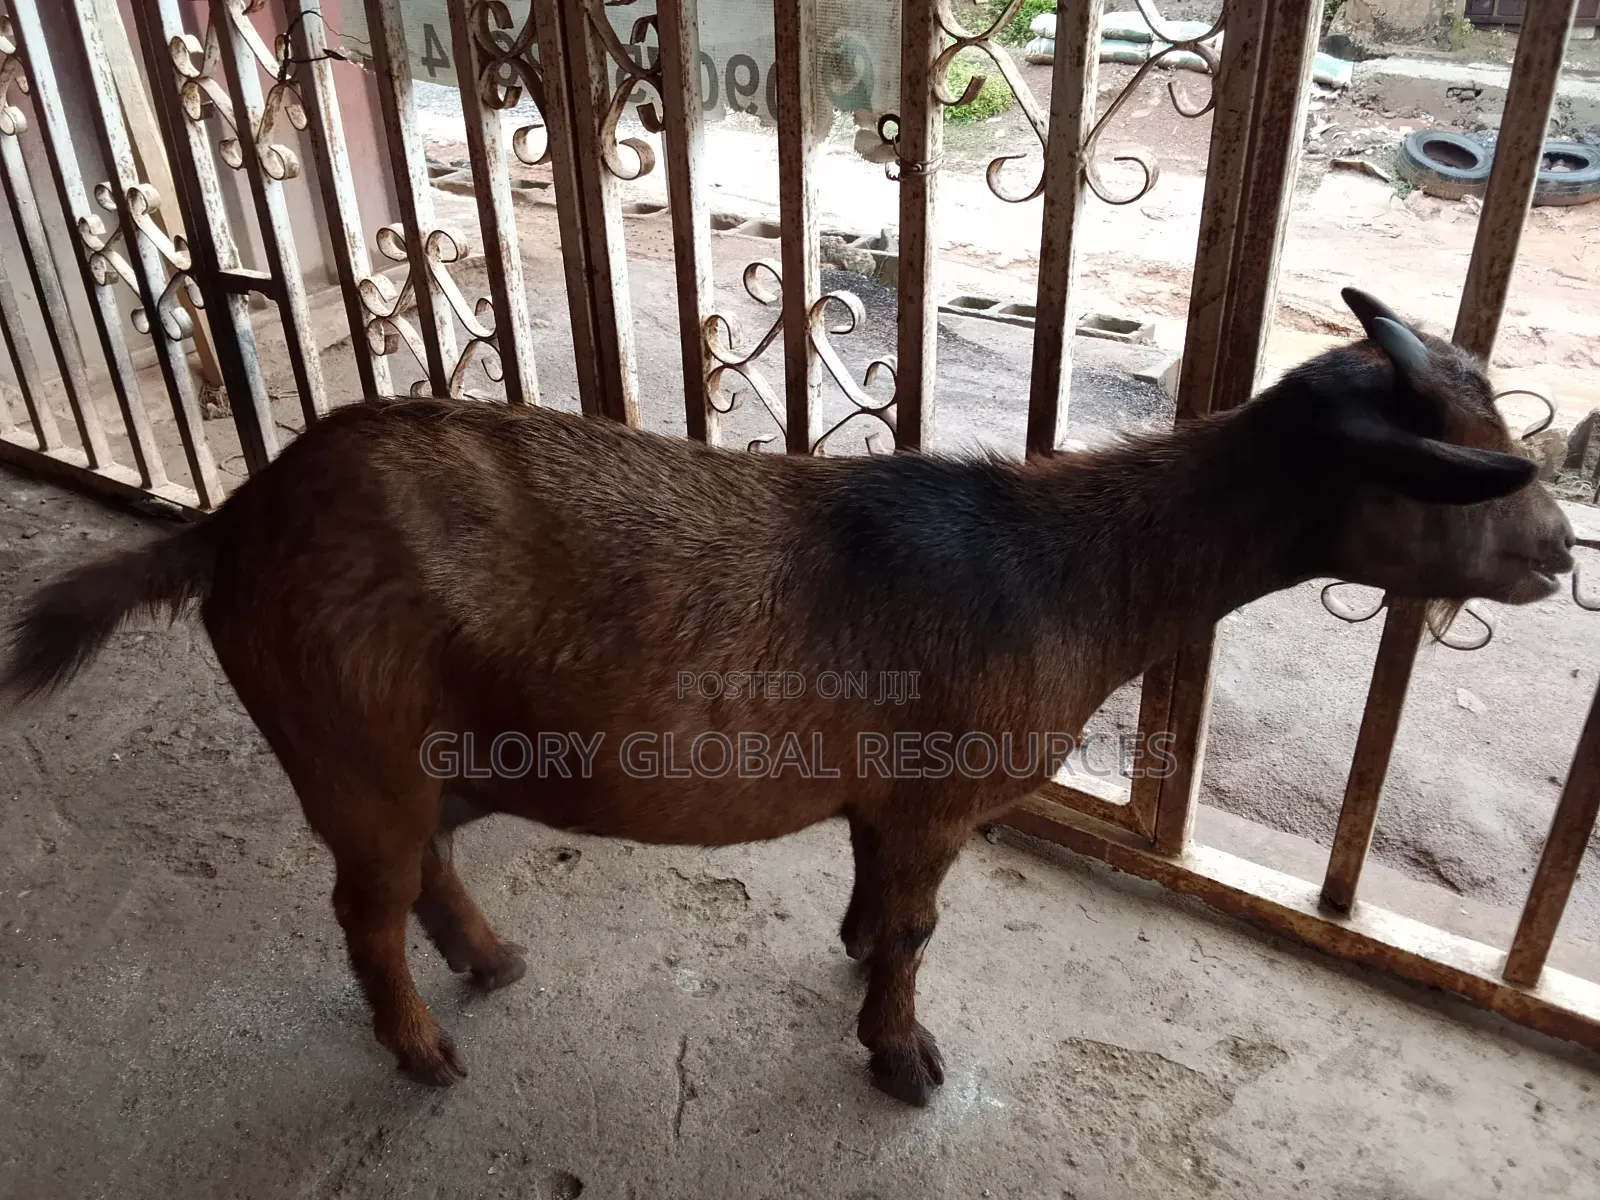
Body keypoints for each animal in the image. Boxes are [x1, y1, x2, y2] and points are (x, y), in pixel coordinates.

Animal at [1, 289, 1574, 1106]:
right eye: (1468, 467)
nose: (1560, 553)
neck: (1075, 565)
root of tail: (231, 523)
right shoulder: (945, 795)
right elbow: (925, 928)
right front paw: (901, 1053)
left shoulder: (890, 796)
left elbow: (880, 894)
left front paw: (856, 953)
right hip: (354, 746)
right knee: (365, 905)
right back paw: (425, 1048)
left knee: (425, 868)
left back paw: (491, 963)